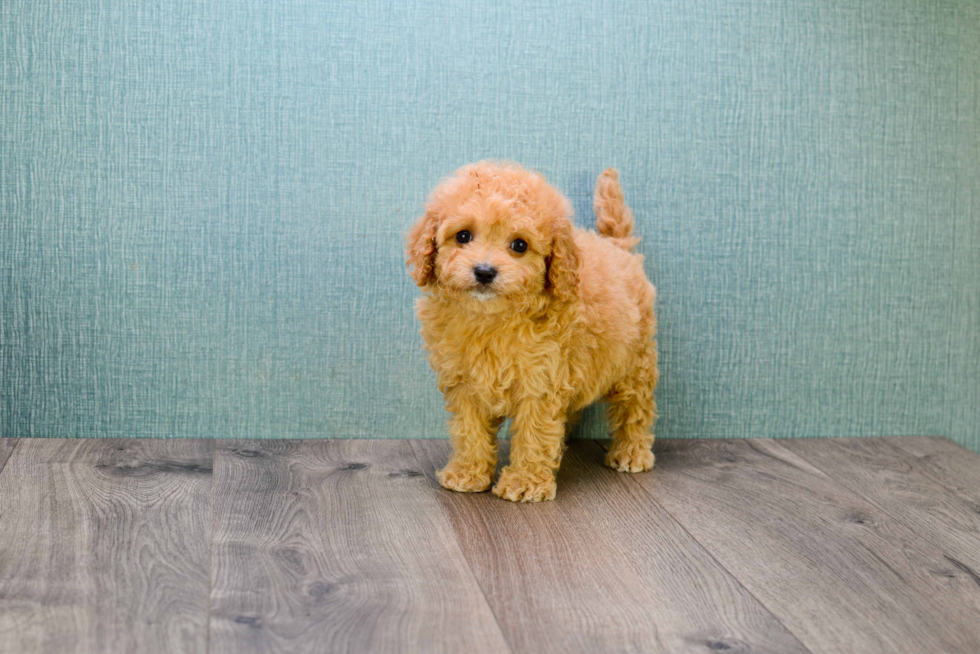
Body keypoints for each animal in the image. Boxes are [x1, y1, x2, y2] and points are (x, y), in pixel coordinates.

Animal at [406, 163, 660, 502]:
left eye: (519, 245)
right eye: (462, 236)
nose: (484, 271)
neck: (491, 320)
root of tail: (618, 247)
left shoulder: (540, 380)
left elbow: (534, 433)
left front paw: (524, 481)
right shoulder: (465, 383)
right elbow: (469, 429)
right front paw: (467, 473)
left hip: (636, 361)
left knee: (636, 408)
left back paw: (632, 452)